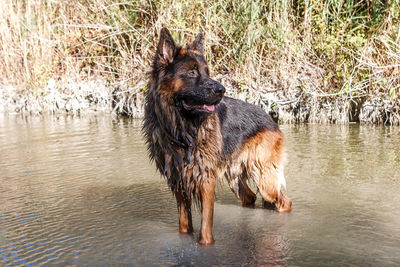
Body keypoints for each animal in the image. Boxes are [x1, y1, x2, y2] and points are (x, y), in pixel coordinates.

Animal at [143, 28, 290, 246]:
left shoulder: (205, 179)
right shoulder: (178, 182)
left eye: (207, 72)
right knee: (250, 197)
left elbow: (205, 227)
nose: (221, 90)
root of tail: (271, 119)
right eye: (192, 72)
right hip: (236, 178)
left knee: (284, 202)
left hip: (265, 180)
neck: (183, 131)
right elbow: (184, 224)